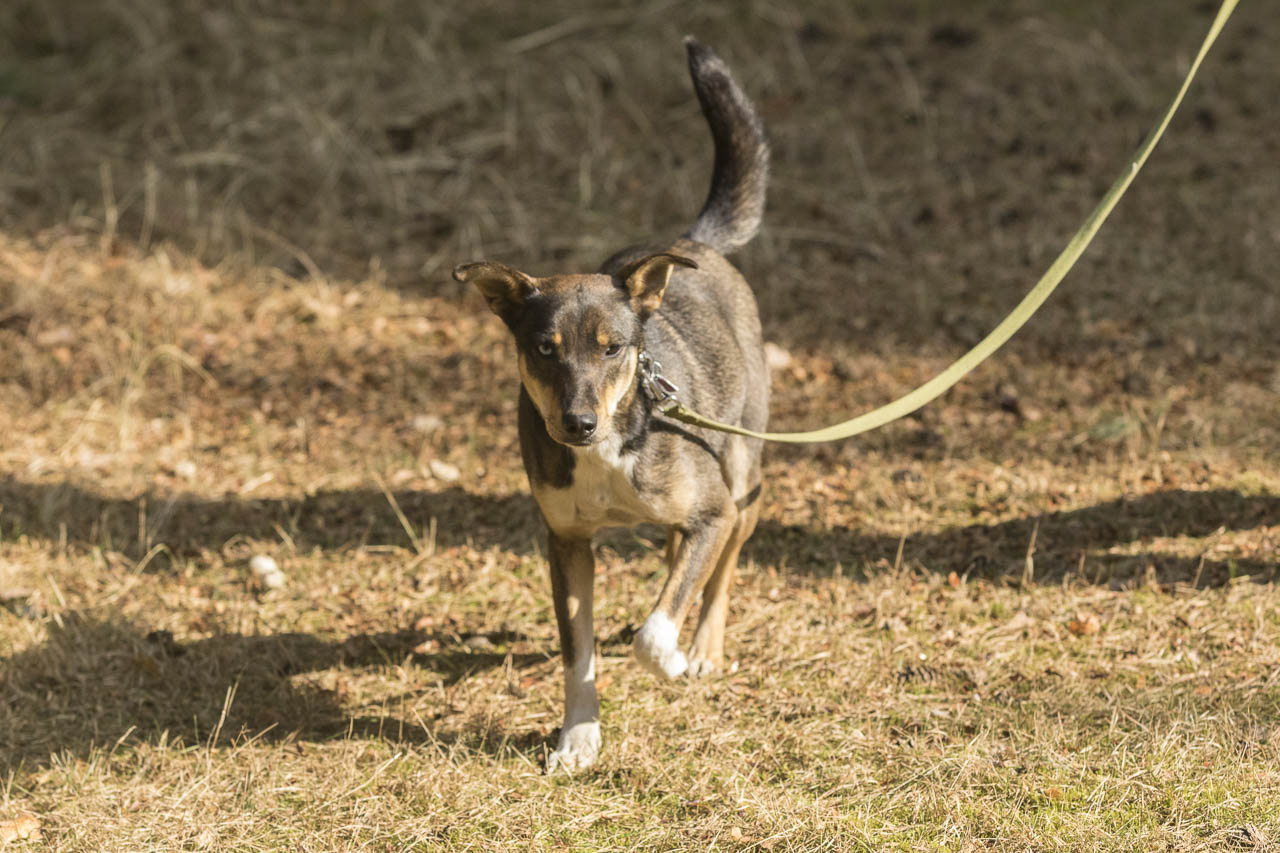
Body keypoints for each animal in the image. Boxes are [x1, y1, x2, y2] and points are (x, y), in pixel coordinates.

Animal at [453, 38, 770, 773]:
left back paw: (701, 646)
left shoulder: (711, 509)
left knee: (726, 556)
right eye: (543, 349)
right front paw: (578, 737)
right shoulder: (567, 541)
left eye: (613, 348)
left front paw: (674, 657)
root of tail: (693, 245)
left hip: (742, 468)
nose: (577, 423)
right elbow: (579, 653)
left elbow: (657, 631)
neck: (611, 446)